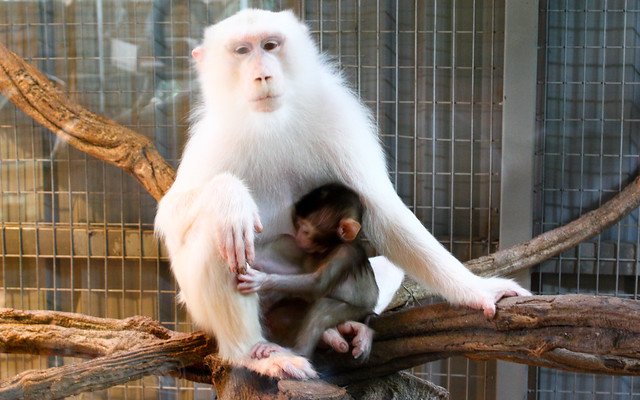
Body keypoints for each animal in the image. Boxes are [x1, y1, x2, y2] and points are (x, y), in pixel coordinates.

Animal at [239, 183, 380, 360]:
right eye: (298, 225)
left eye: (306, 231)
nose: (298, 236)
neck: (330, 248)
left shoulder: (346, 254)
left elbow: (318, 284)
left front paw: (262, 280)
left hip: (356, 310)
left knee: (323, 307)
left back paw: (296, 351)